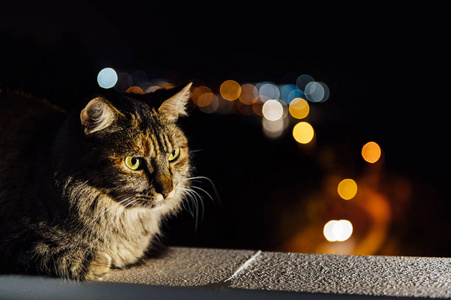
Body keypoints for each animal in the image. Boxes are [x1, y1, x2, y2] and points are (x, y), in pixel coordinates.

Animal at [0, 83, 192, 280]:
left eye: (174, 154)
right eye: (133, 162)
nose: (167, 191)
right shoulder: (15, 240)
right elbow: (60, 254)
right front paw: (98, 260)